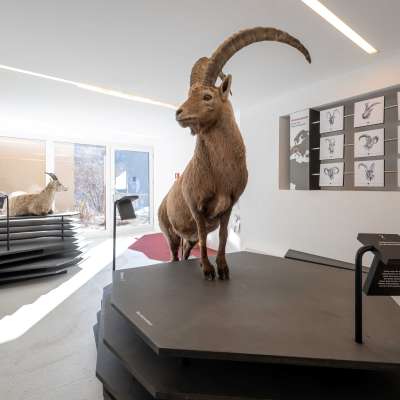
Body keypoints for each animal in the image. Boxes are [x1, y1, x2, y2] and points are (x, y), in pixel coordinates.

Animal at [158, 27, 311, 280]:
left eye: (207, 96)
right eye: (190, 94)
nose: (178, 113)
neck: (220, 174)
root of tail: (163, 201)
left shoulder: (228, 206)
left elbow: (222, 236)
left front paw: (222, 268)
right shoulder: (196, 208)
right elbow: (204, 237)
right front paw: (207, 269)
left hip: (186, 239)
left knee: (186, 251)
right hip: (168, 231)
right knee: (173, 253)